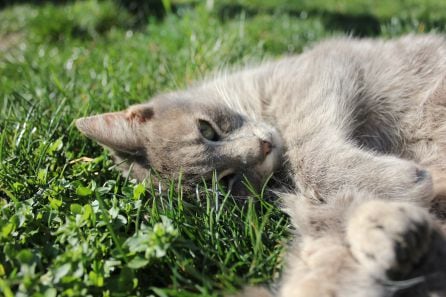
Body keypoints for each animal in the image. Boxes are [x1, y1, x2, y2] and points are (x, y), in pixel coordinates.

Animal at [76, 34, 446, 294]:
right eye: (225, 182)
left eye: (206, 129)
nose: (263, 146)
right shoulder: (317, 217)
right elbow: (325, 263)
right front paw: (388, 228)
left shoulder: (320, 73)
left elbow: (307, 149)